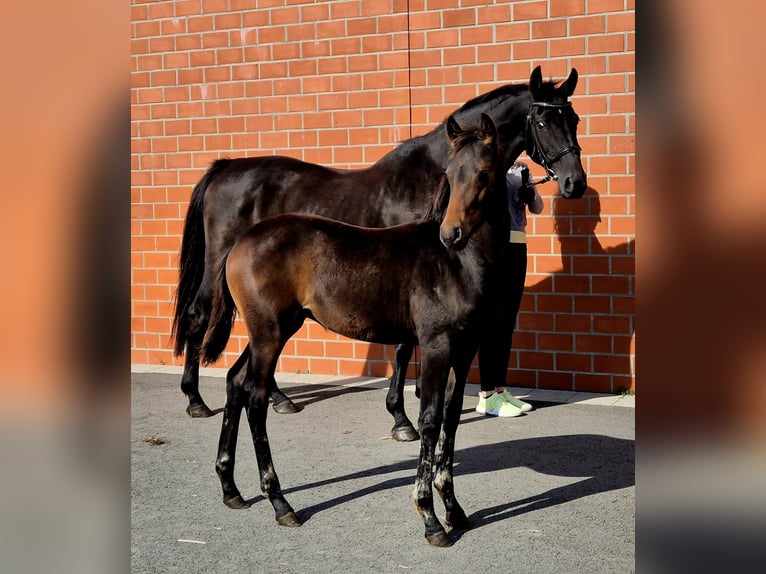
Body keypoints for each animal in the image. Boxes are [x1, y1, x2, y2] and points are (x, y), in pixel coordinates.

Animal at [172, 66, 587, 437]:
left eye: (575, 118)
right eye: (543, 121)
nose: (575, 182)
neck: (429, 174)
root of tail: (225, 168)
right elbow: (403, 349)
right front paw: (401, 419)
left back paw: (279, 398)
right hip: (216, 266)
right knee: (198, 315)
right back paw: (194, 400)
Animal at [201, 113, 510, 547]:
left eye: (484, 172)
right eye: (449, 173)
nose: (451, 234)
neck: (456, 265)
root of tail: (240, 242)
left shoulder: (464, 351)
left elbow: (450, 421)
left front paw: (455, 511)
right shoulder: (435, 347)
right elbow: (430, 421)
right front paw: (431, 519)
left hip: (272, 329)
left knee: (234, 382)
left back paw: (231, 489)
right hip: (270, 334)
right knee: (255, 399)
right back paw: (280, 503)